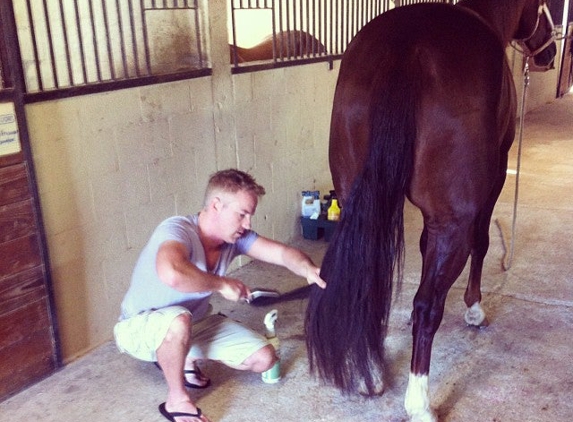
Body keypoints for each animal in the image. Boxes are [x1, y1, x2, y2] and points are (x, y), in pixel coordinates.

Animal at [306, 1, 556, 420]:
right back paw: (419, 401)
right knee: (428, 305)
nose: (551, 53)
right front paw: (474, 309)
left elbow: (423, 249)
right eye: (542, 6)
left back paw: (369, 375)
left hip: (360, 200)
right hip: (453, 221)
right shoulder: (496, 176)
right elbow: (481, 243)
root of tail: (407, 47)